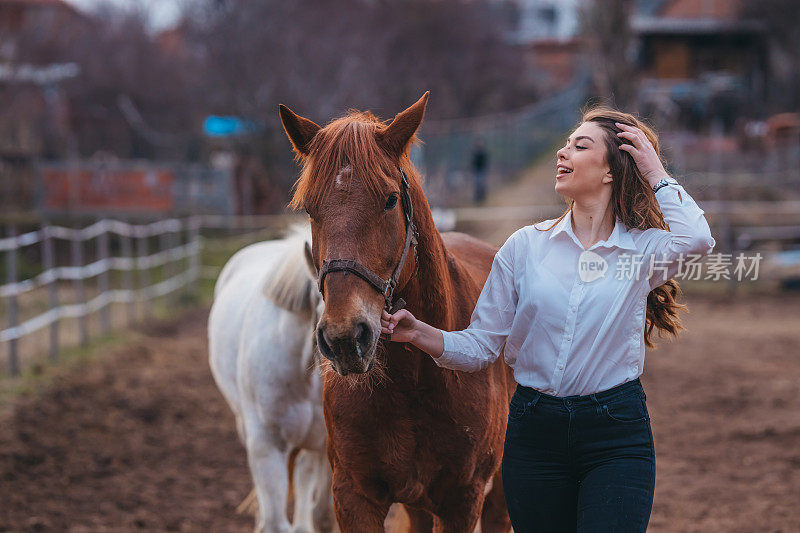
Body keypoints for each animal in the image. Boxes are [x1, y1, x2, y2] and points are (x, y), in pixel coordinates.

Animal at [278, 93, 516, 528]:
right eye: (309, 209)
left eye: (389, 200)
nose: (345, 338)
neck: (415, 382)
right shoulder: (354, 496)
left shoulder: (462, 500)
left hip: (499, 496)